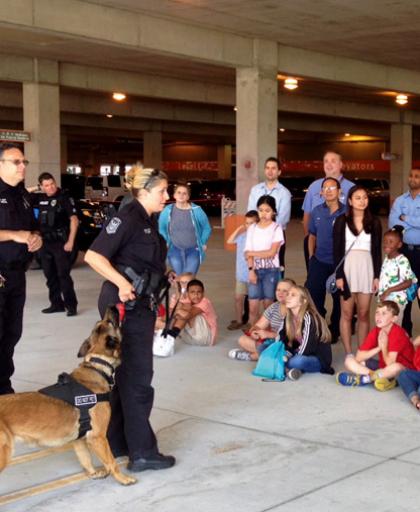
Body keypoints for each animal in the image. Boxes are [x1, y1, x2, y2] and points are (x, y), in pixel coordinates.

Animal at [0, 306, 135, 486]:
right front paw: (123, 479)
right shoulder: (98, 437)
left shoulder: (79, 440)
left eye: (102, 323)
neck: (96, 365)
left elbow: (85, 459)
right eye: (110, 322)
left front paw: (93, 473)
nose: (112, 306)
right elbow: (112, 462)